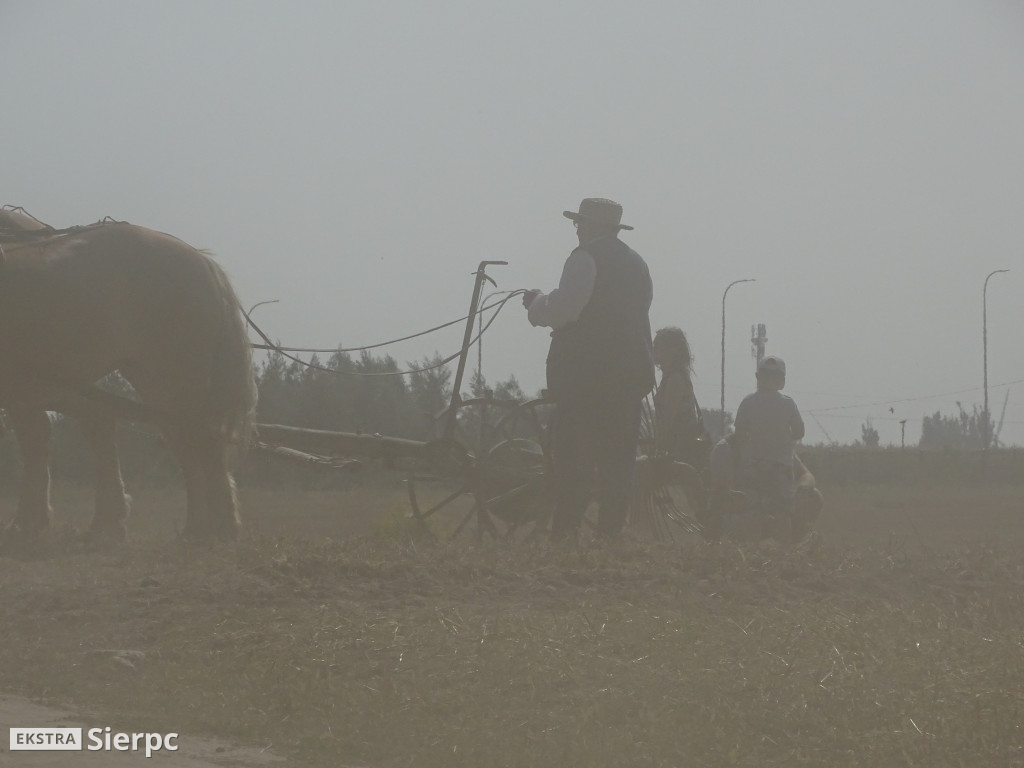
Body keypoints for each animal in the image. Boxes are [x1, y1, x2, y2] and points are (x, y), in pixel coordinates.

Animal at [0, 207, 254, 544]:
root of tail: (203, 261)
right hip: (153, 382)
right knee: (182, 442)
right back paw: (192, 529)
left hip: (180, 377)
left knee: (204, 441)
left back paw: (221, 528)